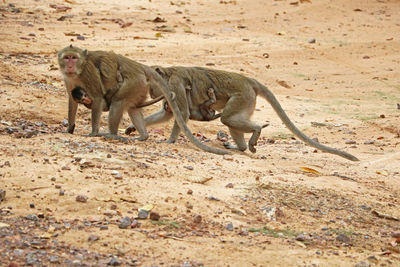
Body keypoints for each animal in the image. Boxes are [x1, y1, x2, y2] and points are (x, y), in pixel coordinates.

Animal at [57, 45, 230, 156]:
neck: (78, 71)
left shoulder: (88, 73)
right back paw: (143, 136)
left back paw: (112, 135)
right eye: (67, 58)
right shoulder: (69, 79)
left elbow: (98, 97)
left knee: (118, 102)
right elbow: (72, 100)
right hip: (140, 86)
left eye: (73, 58)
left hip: (135, 81)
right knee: (131, 107)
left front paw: (93, 132)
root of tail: (140, 67)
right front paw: (70, 128)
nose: (70, 65)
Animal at [131, 66, 360, 162]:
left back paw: (255, 132)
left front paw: (170, 140)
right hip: (247, 100)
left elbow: (182, 114)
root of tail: (249, 80)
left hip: (243, 95)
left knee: (228, 118)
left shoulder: (175, 84)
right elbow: (169, 114)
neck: (168, 75)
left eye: (151, 83)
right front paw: (133, 127)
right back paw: (240, 147)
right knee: (230, 120)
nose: (151, 92)